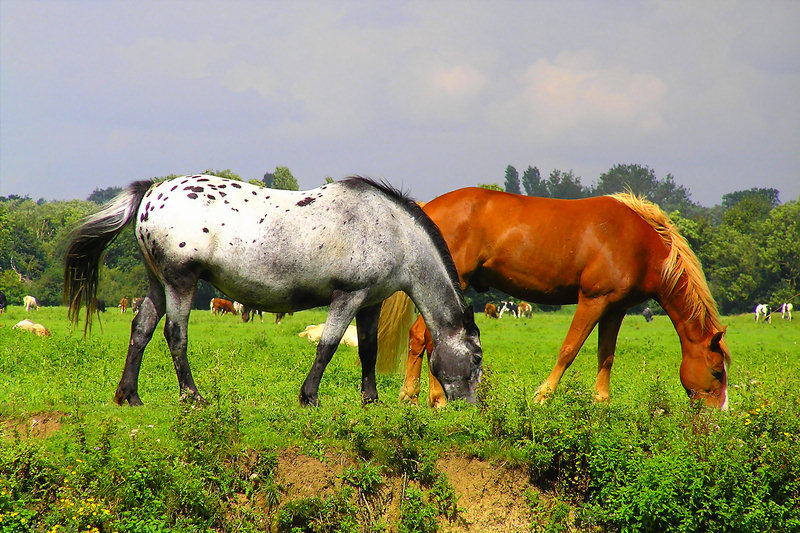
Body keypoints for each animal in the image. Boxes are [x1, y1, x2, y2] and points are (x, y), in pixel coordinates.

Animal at [382, 189, 732, 410]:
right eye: (717, 371)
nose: (718, 414)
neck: (639, 244)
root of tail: (424, 209)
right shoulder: (593, 300)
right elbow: (570, 349)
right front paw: (544, 395)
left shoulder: (615, 309)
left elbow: (606, 355)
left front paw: (601, 402)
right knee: (427, 336)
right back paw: (433, 397)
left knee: (422, 337)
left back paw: (416, 397)